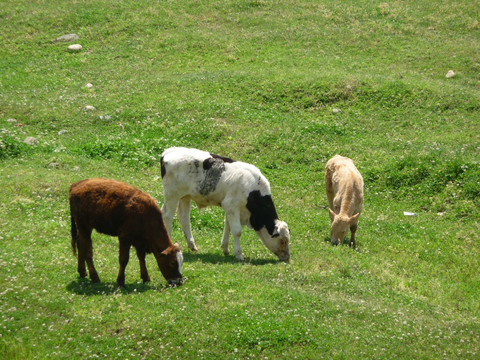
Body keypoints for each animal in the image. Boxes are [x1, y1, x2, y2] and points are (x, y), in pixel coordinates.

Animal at [159, 146, 290, 262]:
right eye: (282, 240)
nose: (287, 258)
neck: (253, 190)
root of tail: (169, 151)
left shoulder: (230, 208)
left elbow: (228, 227)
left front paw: (225, 249)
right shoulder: (231, 205)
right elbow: (237, 231)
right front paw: (239, 255)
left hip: (185, 196)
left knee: (184, 218)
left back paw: (192, 245)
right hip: (172, 195)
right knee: (167, 215)